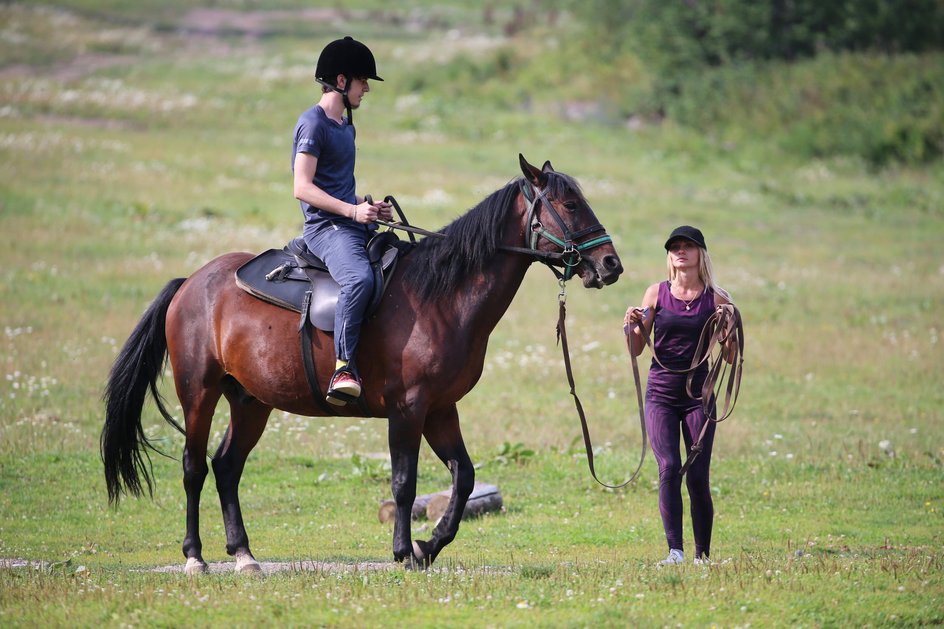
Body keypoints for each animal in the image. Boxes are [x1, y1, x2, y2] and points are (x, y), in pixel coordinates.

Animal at [103, 155, 624, 572]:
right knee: (194, 468)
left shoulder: (440, 409)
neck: (440, 297)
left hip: (251, 401)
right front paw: (403, 552)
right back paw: (195, 556)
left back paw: (245, 555)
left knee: (227, 467)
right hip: (200, 392)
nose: (611, 265)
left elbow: (464, 477)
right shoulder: (408, 409)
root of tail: (192, 283)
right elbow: (404, 483)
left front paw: (429, 545)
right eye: (570, 204)